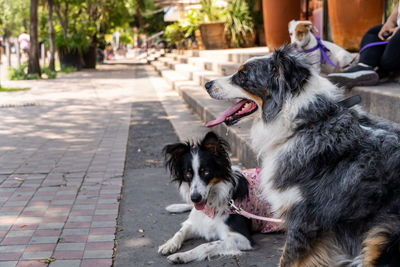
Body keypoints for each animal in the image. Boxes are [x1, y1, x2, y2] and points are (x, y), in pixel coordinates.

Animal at [159, 132, 253, 264]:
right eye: (188, 173)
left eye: (206, 172)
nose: (195, 198)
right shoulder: (196, 222)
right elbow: (181, 231)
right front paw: (169, 244)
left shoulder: (241, 238)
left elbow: (204, 246)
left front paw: (182, 255)